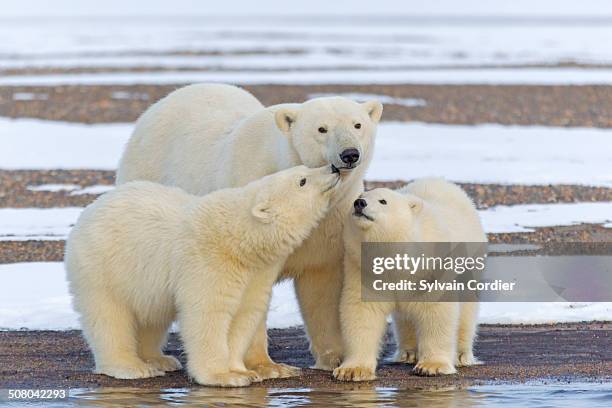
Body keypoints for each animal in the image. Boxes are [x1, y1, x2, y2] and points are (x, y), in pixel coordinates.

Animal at [67, 165, 344, 386]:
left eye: (305, 169)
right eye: (302, 180)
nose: (333, 168)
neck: (239, 238)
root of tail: (89, 210)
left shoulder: (257, 273)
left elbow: (244, 315)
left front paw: (243, 371)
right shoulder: (209, 262)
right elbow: (208, 314)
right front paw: (222, 376)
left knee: (152, 317)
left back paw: (159, 360)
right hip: (103, 266)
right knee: (108, 317)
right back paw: (131, 367)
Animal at [116, 83, 382, 380]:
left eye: (358, 124)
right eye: (322, 129)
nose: (349, 154)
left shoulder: (330, 224)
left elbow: (321, 287)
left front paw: (334, 358)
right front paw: (267, 366)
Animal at [332, 179, 486, 382]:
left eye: (383, 201)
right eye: (359, 197)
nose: (360, 203)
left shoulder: (430, 265)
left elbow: (436, 310)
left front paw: (432, 366)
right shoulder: (363, 270)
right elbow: (361, 311)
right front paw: (352, 370)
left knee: (467, 310)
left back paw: (461, 355)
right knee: (404, 319)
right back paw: (408, 353)